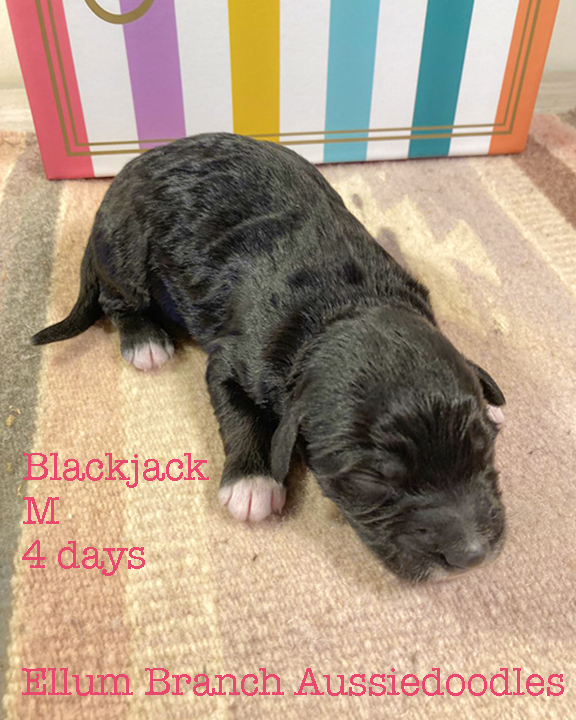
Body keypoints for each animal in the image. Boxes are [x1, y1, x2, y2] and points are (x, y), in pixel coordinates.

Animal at [33, 133, 506, 582]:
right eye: (372, 480)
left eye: (485, 448)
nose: (470, 556)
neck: (345, 305)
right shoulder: (232, 362)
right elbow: (241, 415)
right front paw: (252, 483)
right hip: (127, 249)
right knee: (117, 299)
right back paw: (145, 341)